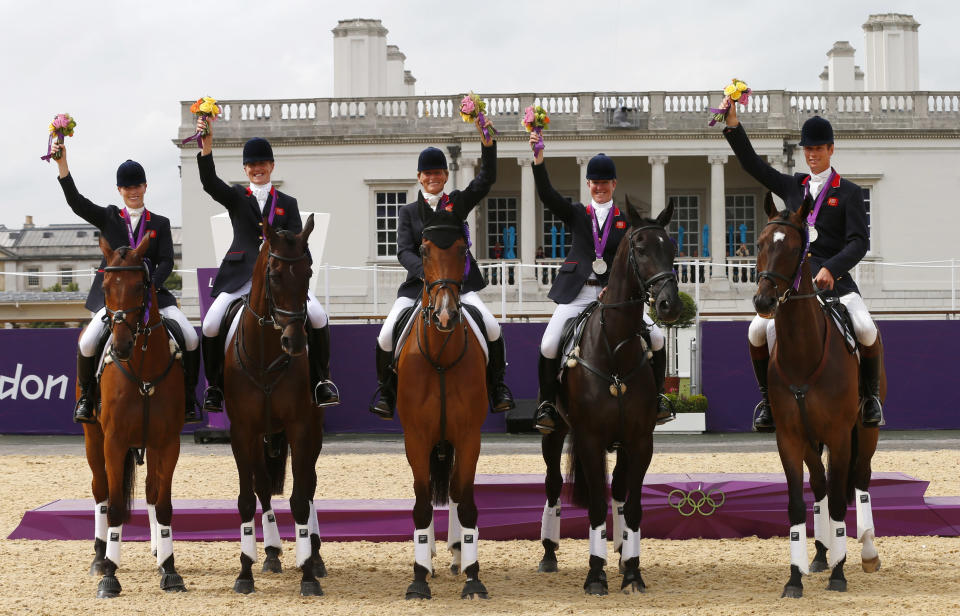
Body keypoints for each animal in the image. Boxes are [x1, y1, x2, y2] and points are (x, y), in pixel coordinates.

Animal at [84, 236, 188, 596]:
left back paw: (157, 551)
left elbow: (165, 503)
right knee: (100, 491)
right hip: (94, 440)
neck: (142, 368)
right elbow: (115, 506)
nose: (122, 346)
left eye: (140, 286)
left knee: (151, 491)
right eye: (105, 286)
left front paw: (170, 569)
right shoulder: (114, 442)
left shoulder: (168, 443)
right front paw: (110, 576)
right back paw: (99, 556)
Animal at [223, 214, 328, 596]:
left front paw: (308, 574)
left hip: (313, 431)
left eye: (309, 272)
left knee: (309, 484)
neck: (267, 354)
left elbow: (299, 498)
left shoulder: (301, 427)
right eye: (275, 274)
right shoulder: (243, 432)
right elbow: (246, 498)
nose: (294, 342)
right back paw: (269, 553)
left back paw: (315, 556)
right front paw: (245, 573)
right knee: (264, 488)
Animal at [540, 200, 684, 596]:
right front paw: (595, 575)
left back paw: (620, 552)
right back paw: (549, 553)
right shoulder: (589, 440)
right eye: (641, 248)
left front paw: (632, 571)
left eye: (672, 248)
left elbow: (631, 505)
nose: (669, 305)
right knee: (553, 486)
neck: (614, 348)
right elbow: (593, 506)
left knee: (618, 489)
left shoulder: (640, 441)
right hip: (554, 433)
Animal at [756, 192, 884, 596]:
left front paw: (840, 575)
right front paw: (795, 577)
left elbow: (842, 503)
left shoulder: (841, 436)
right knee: (822, 484)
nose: (763, 302)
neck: (803, 353)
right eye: (761, 244)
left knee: (859, 480)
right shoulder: (790, 438)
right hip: (812, 442)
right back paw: (822, 554)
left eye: (794, 248)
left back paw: (867, 553)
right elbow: (799, 504)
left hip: (866, 432)